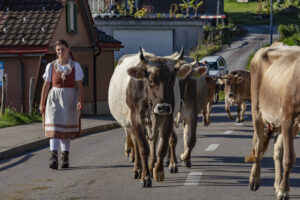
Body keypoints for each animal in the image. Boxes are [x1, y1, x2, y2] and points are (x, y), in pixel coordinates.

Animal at [108, 47, 192, 188]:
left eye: (172, 81)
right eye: (151, 81)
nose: (163, 107)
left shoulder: (167, 118)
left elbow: (161, 148)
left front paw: (158, 172)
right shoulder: (136, 120)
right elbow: (143, 148)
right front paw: (145, 177)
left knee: (153, 141)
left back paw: (150, 164)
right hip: (131, 123)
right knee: (136, 144)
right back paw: (137, 169)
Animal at [246, 42, 300, 200]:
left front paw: (281, 187)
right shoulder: (288, 119)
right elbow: (289, 159)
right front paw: (284, 191)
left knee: (277, 149)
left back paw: (277, 183)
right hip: (257, 111)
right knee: (258, 144)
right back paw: (255, 180)